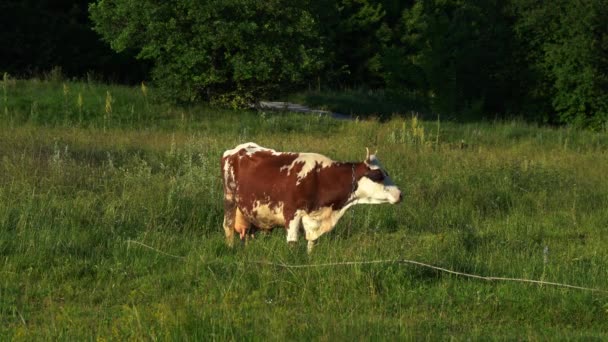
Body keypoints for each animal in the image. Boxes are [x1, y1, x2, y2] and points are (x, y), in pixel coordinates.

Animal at [221, 141, 402, 251]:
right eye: (377, 175)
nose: (400, 194)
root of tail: (237, 149)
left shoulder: (313, 218)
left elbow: (311, 243)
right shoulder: (291, 213)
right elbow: (292, 243)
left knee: (246, 233)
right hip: (230, 198)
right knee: (228, 226)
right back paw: (230, 248)